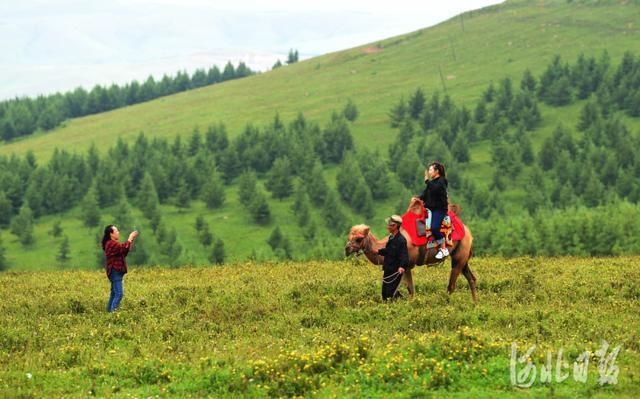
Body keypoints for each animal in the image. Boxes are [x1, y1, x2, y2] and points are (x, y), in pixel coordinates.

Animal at [344, 199, 476, 304]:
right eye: (349, 236)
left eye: (359, 238)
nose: (347, 249)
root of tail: (468, 231)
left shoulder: (406, 265)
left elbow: (410, 288)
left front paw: (412, 304)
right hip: (462, 256)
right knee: (471, 278)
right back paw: (475, 303)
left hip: (460, 253)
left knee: (452, 284)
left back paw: (446, 302)